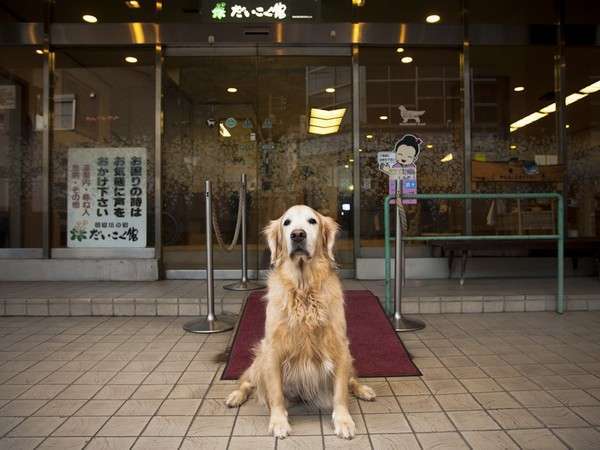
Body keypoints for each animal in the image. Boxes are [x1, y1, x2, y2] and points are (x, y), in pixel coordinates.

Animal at [225, 206, 376, 438]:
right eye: (286, 222)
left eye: (312, 221)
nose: (298, 235)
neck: (304, 288)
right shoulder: (273, 348)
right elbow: (276, 393)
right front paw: (279, 422)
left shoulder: (340, 345)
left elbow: (340, 391)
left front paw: (343, 420)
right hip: (260, 357)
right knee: (248, 382)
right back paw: (235, 396)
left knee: (351, 380)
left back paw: (363, 390)